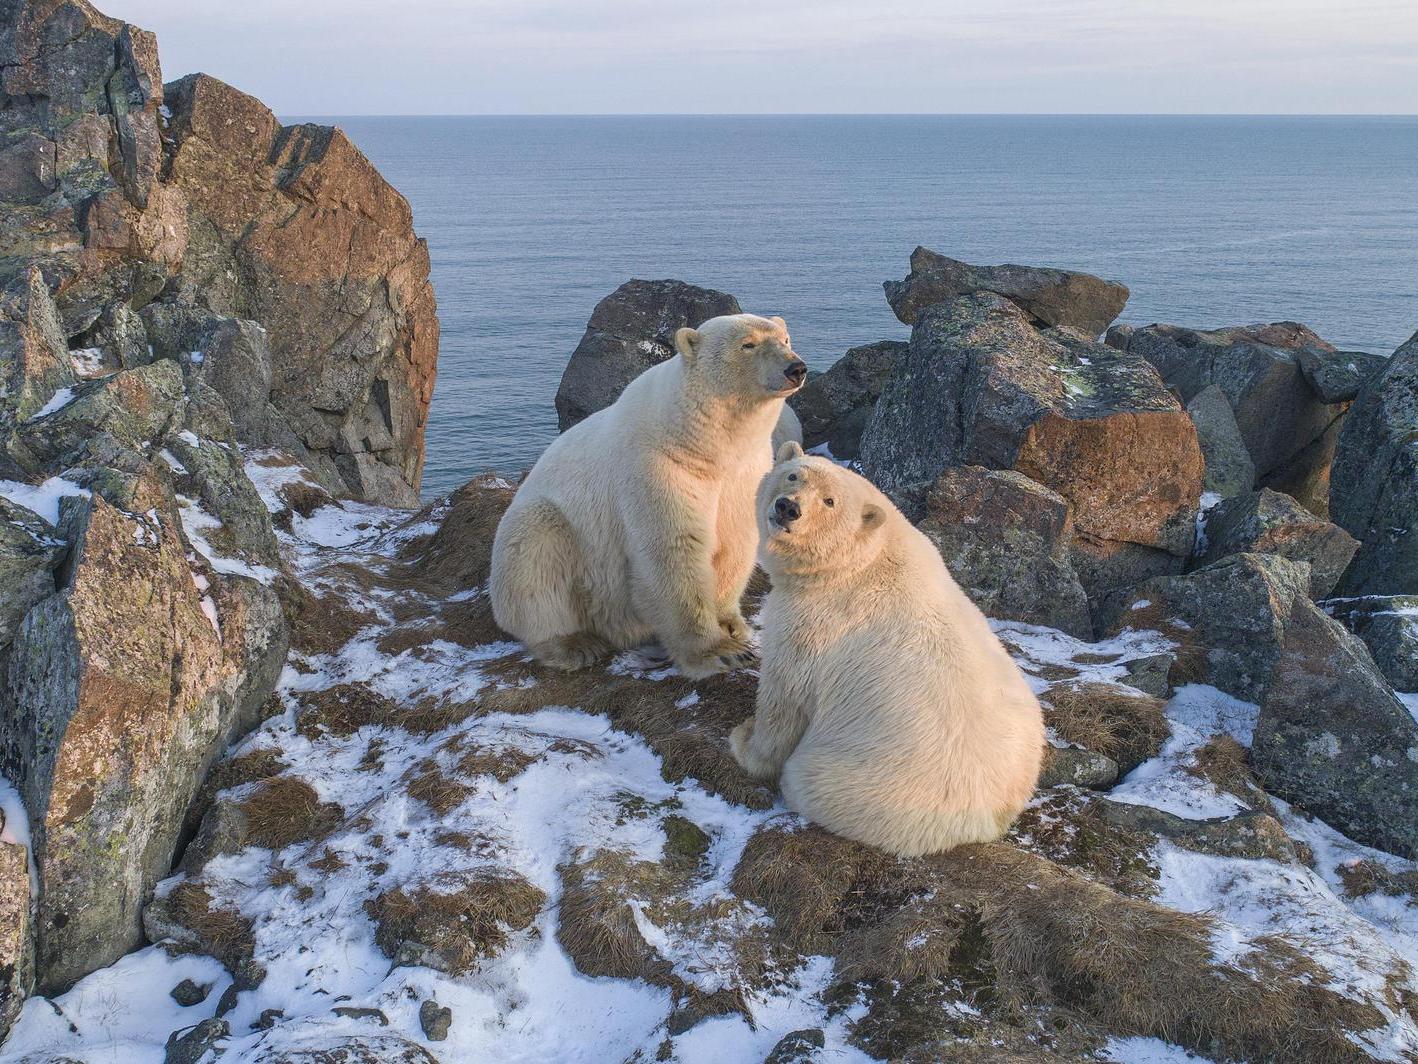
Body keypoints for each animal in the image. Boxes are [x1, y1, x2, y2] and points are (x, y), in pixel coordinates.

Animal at [490, 314, 808, 677]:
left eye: (785, 339)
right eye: (748, 344)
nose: (796, 368)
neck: (702, 445)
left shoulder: (743, 474)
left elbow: (734, 541)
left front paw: (731, 625)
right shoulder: (659, 468)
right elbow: (673, 551)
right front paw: (719, 652)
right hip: (549, 535)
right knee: (536, 561)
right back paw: (575, 645)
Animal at [730, 442, 1045, 856]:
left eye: (829, 501)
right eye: (794, 475)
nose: (787, 508)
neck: (863, 559)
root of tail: (985, 820)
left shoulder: (818, 623)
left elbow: (785, 698)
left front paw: (744, 740)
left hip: (867, 784)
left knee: (808, 779)